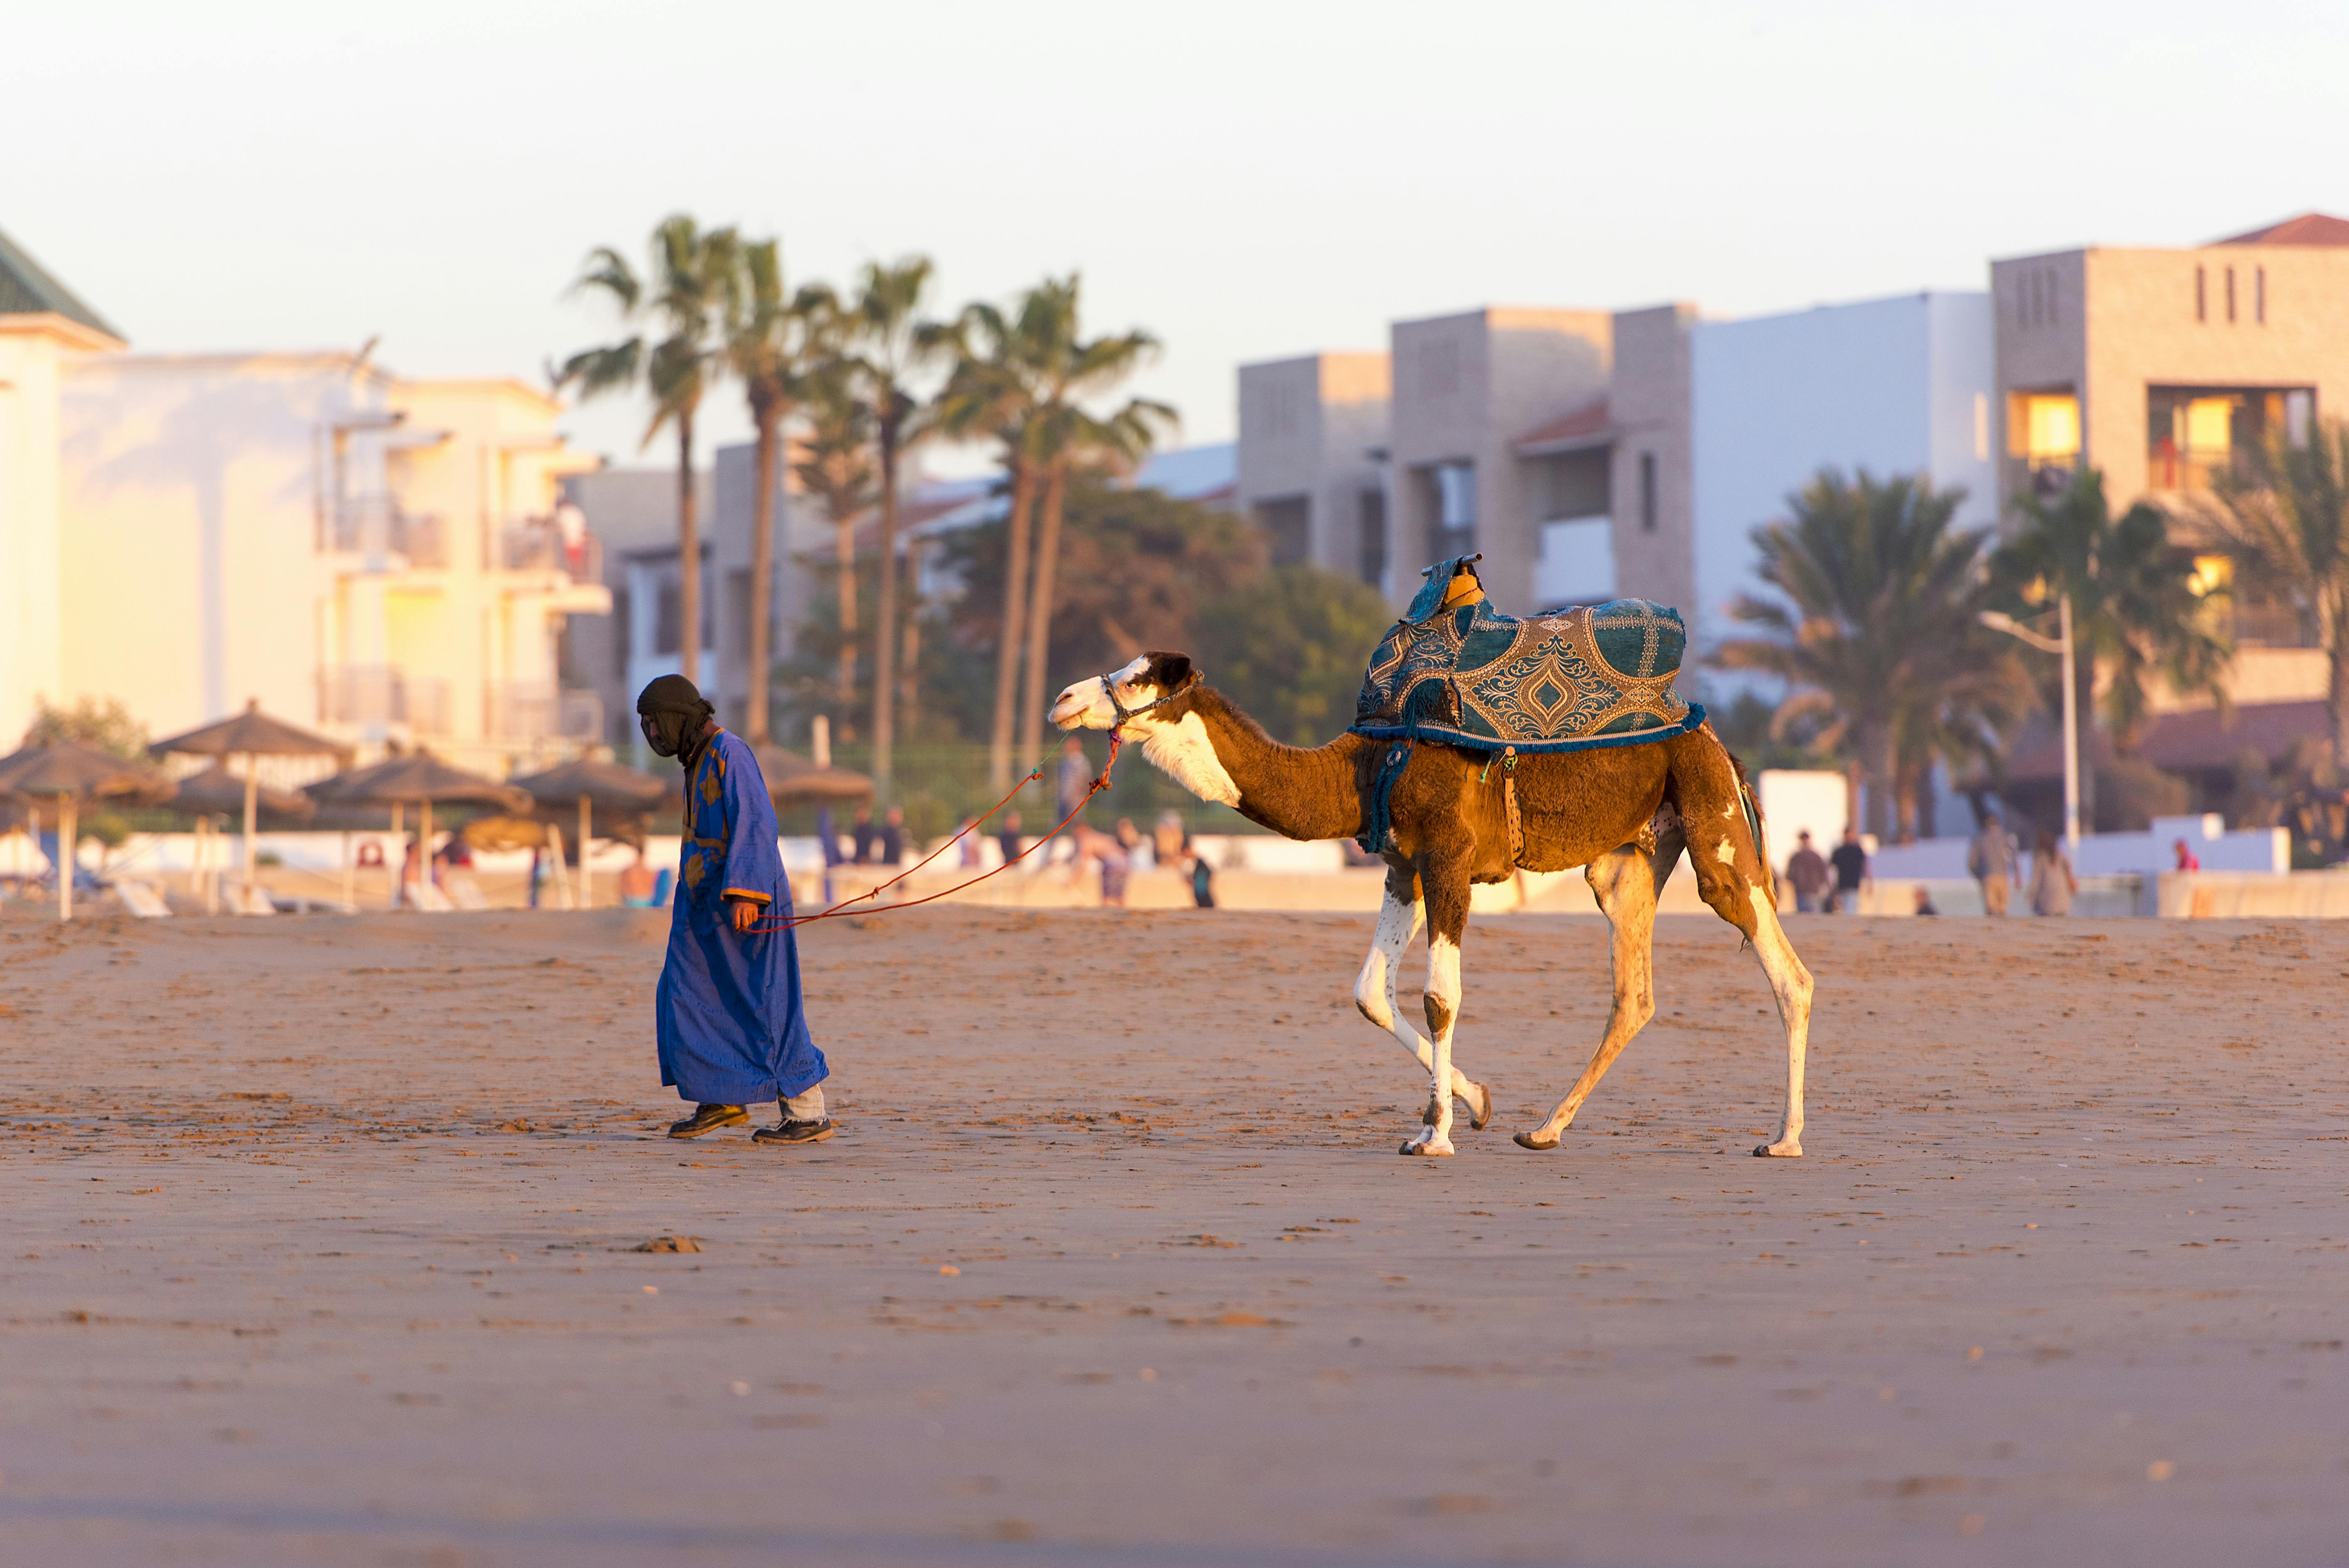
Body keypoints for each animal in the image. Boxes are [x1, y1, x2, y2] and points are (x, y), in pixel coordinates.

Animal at [1062, 644, 1813, 1161]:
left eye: (1135, 679)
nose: (1064, 699)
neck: (1367, 766)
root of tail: (1718, 742)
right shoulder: (1405, 866)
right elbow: (1370, 991)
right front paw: (1473, 1104)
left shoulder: (1448, 860)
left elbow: (1439, 996)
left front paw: (1436, 1134)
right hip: (1630, 857)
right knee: (1635, 993)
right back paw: (1543, 1130)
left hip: (1713, 823)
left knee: (1789, 974)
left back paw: (1783, 1138)